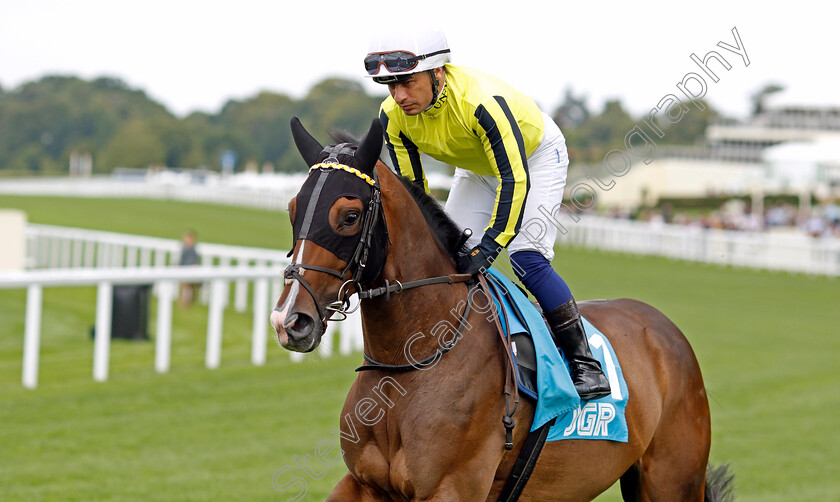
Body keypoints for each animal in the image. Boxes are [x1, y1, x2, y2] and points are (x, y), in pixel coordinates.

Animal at [272, 115, 732, 500]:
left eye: (349, 216)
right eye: (293, 210)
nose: (289, 320)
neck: (412, 364)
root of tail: (663, 327)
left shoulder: (451, 488)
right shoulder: (364, 484)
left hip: (673, 480)